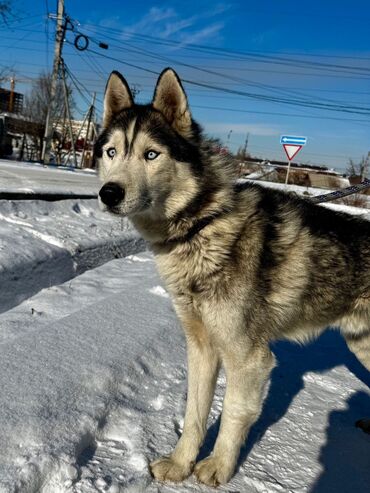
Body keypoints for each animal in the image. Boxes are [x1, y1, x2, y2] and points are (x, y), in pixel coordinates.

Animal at [96, 68, 370, 484]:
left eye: (151, 154)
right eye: (111, 152)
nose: (108, 193)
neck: (201, 225)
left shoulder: (249, 357)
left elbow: (233, 413)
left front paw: (218, 467)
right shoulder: (201, 347)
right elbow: (194, 413)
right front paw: (180, 464)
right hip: (361, 344)